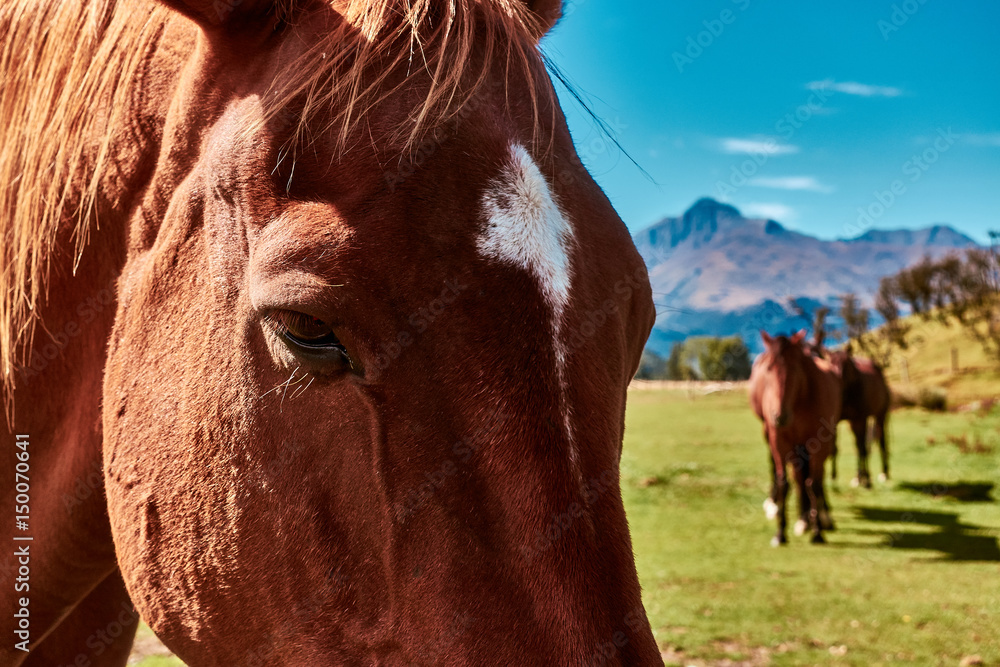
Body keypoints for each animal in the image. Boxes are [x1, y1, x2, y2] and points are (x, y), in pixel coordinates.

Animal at [748, 332, 840, 544]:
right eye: (769, 368)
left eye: (795, 369)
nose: (779, 416)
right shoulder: (779, 442)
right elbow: (785, 484)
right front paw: (780, 533)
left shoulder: (818, 443)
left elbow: (813, 483)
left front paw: (817, 530)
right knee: (794, 476)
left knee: (811, 478)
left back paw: (817, 517)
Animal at [828, 348, 892, 488]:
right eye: (829, 364)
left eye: (846, 365)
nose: (836, 381)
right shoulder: (836, 421)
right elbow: (834, 447)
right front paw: (833, 476)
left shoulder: (860, 420)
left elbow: (862, 449)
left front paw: (866, 479)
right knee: (861, 445)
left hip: (880, 416)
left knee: (880, 443)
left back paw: (883, 474)